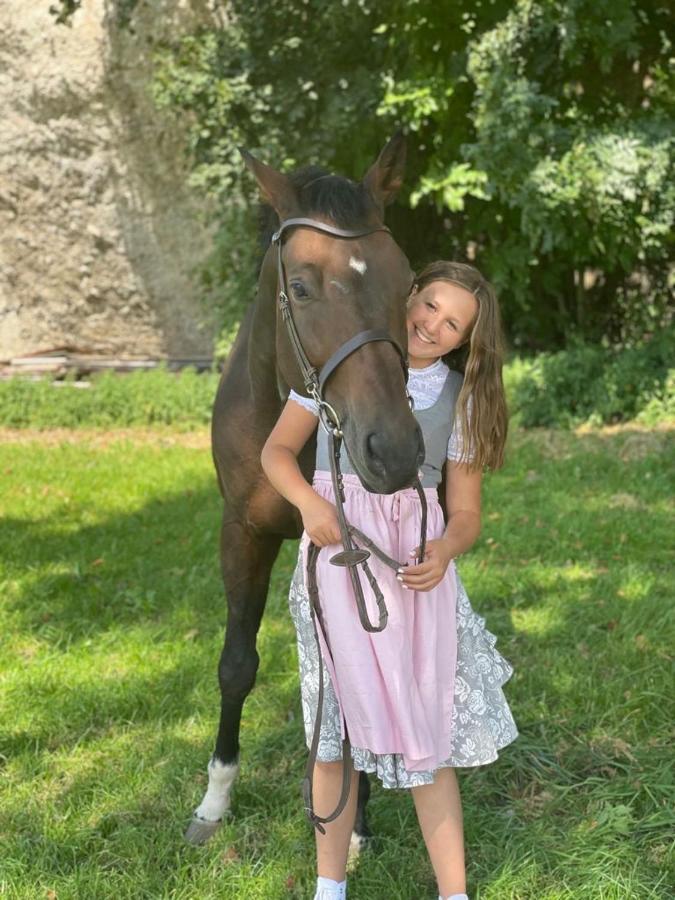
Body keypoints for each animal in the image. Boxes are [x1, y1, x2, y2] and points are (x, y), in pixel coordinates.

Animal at [185, 132, 426, 844]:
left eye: (408, 282)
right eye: (300, 286)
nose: (392, 450)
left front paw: (358, 814)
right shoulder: (244, 532)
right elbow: (236, 664)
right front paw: (215, 799)